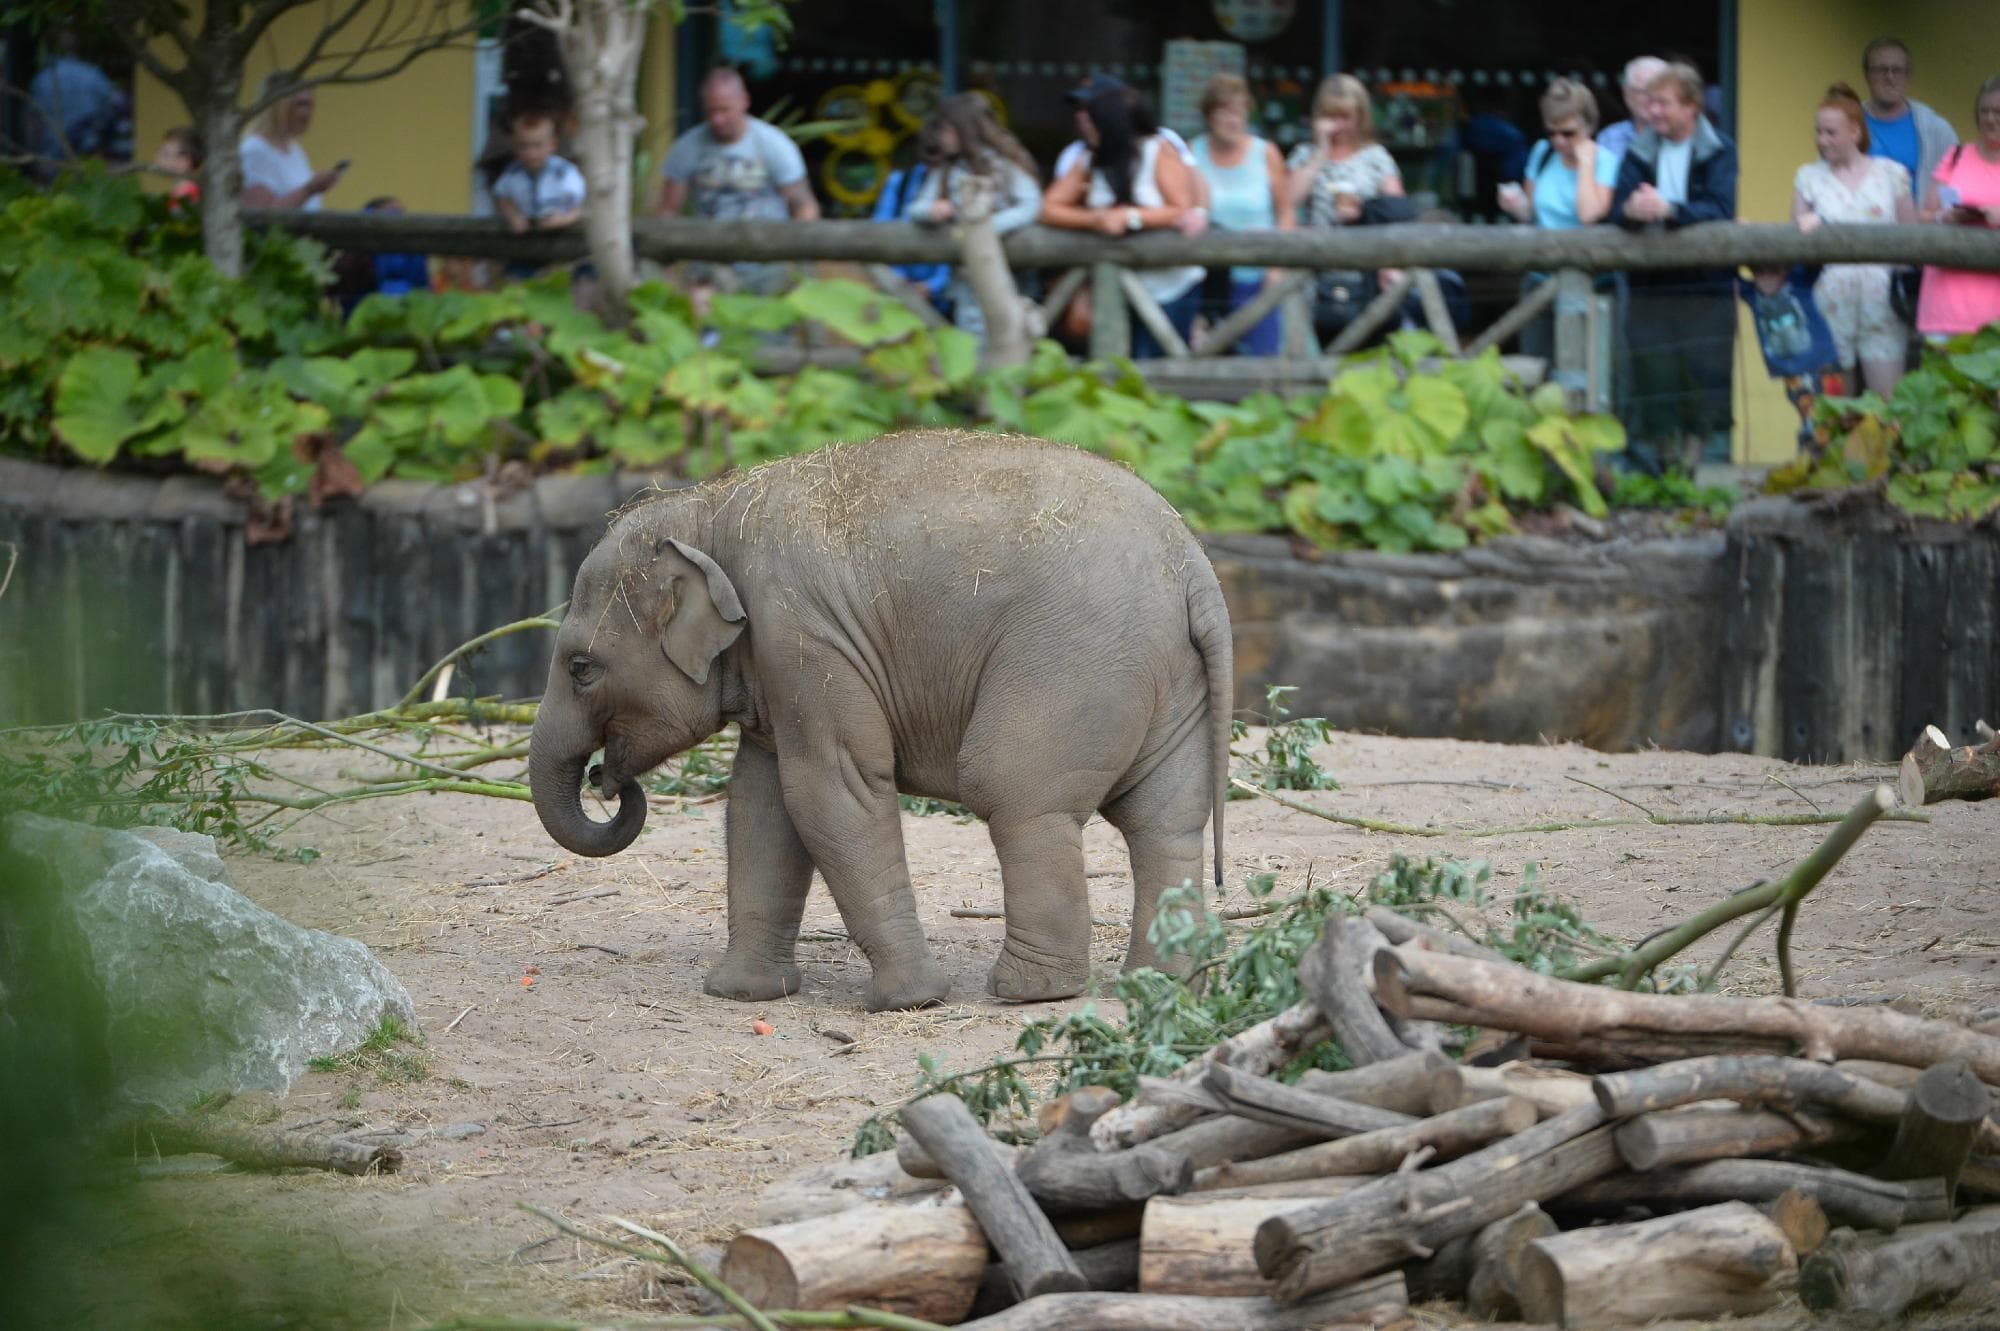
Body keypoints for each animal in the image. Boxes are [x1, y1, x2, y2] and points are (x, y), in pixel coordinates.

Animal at [529, 431, 1233, 1011]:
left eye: (581, 668)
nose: (605, 781)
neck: (713, 508)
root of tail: (1193, 567)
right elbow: (762, 803)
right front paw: (740, 994)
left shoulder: (802, 635)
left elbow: (830, 789)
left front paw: (908, 1001)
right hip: (1168, 679)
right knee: (1164, 819)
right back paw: (1159, 984)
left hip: (1075, 665)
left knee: (1015, 794)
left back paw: (1029, 992)